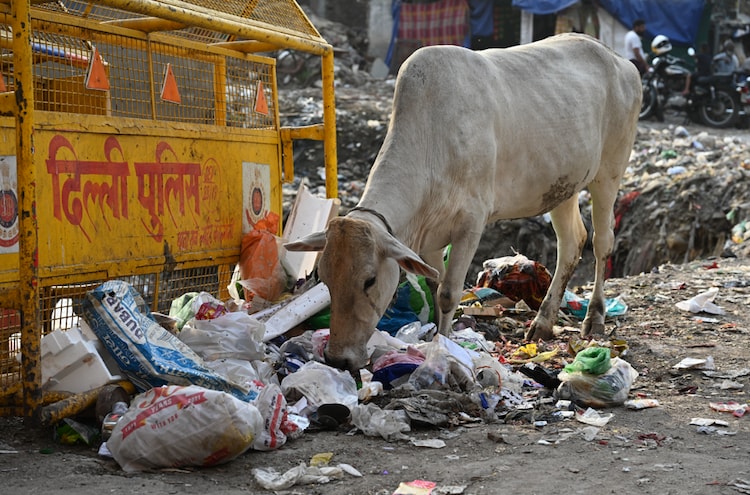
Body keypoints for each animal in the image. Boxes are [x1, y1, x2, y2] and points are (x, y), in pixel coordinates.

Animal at [284, 33, 642, 372]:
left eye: (369, 280)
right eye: (324, 278)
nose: (338, 358)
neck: (431, 140)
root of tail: (618, 59)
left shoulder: (471, 222)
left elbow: (448, 292)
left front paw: (445, 345)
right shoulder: (429, 240)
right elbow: (435, 283)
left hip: (610, 171)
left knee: (601, 242)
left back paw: (594, 317)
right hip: (562, 186)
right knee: (571, 243)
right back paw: (543, 321)